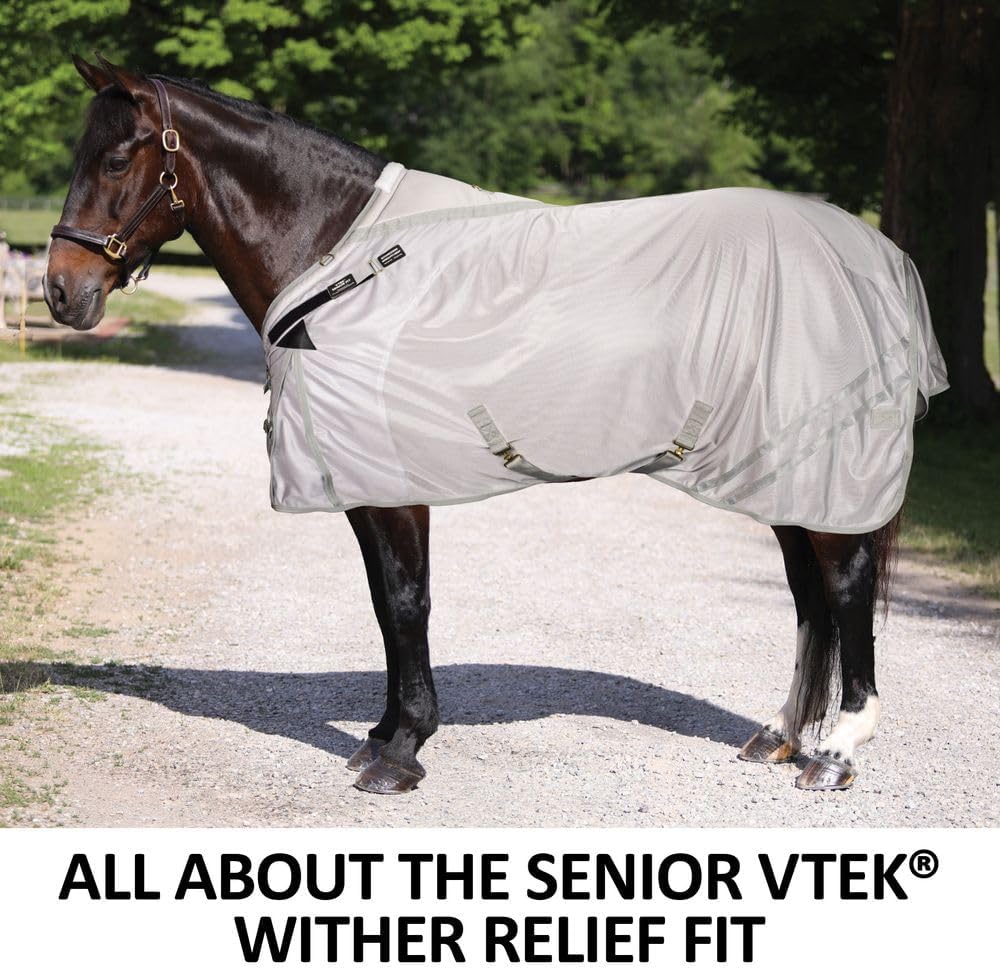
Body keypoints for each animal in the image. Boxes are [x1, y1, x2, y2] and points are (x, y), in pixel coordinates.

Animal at [45, 56, 946, 796]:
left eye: (116, 159)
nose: (61, 290)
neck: (346, 264)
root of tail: (876, 261)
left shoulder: (394, 484)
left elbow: (406, 600)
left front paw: (403, 751)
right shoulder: (365, 483)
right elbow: (383, 602)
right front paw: (379, 735)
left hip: (822, 471)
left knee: (844, 585)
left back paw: (836, 752)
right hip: (784, 471)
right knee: (809, 598)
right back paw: (781, 736)